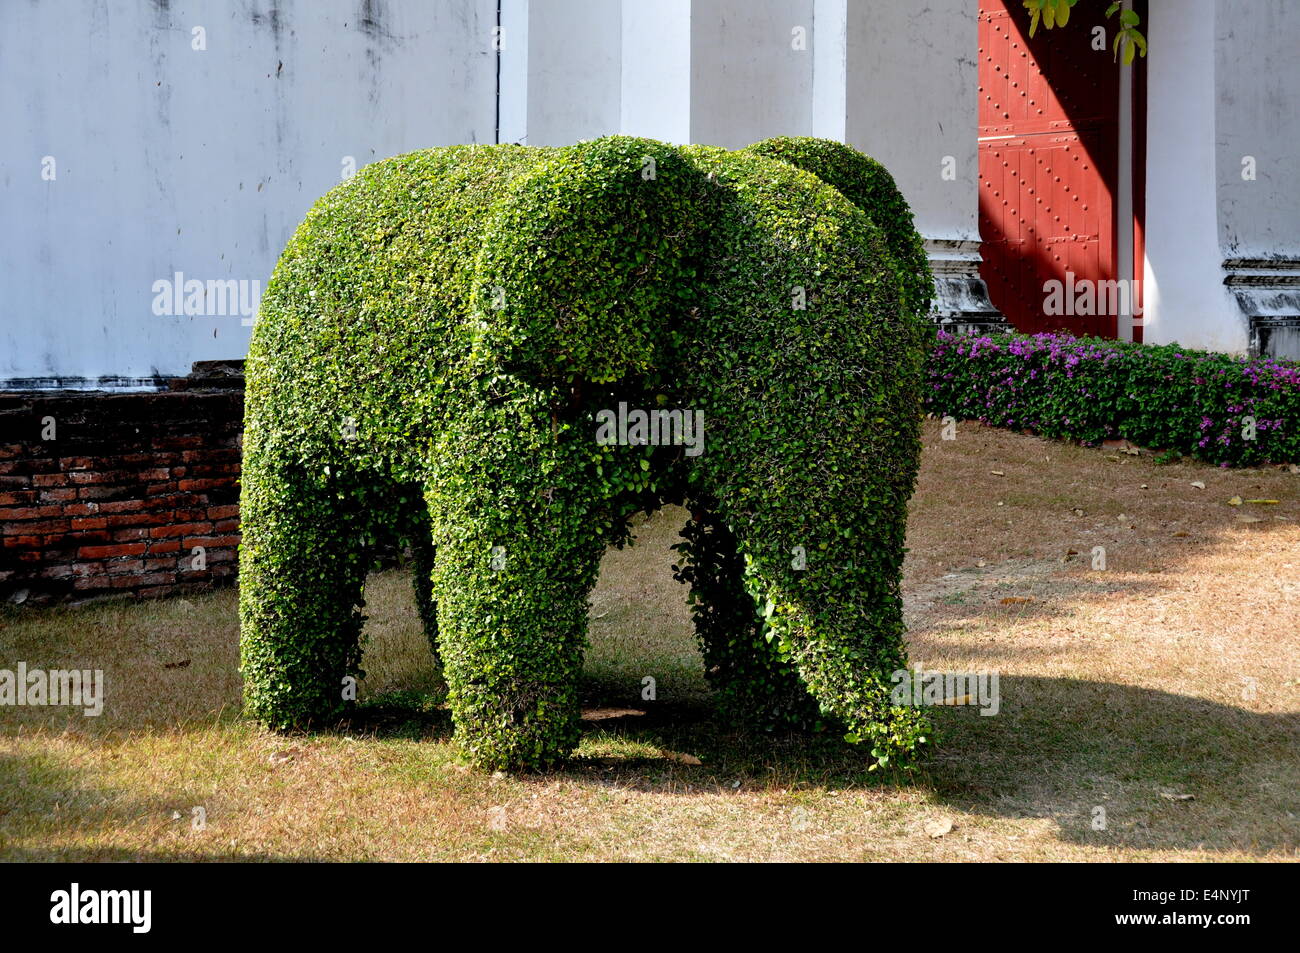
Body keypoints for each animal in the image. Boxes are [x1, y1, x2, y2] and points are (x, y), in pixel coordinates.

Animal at [238, 135, 934, 770]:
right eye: (764, 370)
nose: (908, 748)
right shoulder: (512, 405)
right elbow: (513, 551)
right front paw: (518, 756)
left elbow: (731, 554)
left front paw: (780, 716)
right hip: (287, 401)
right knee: (292, 527)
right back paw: (294, 714)